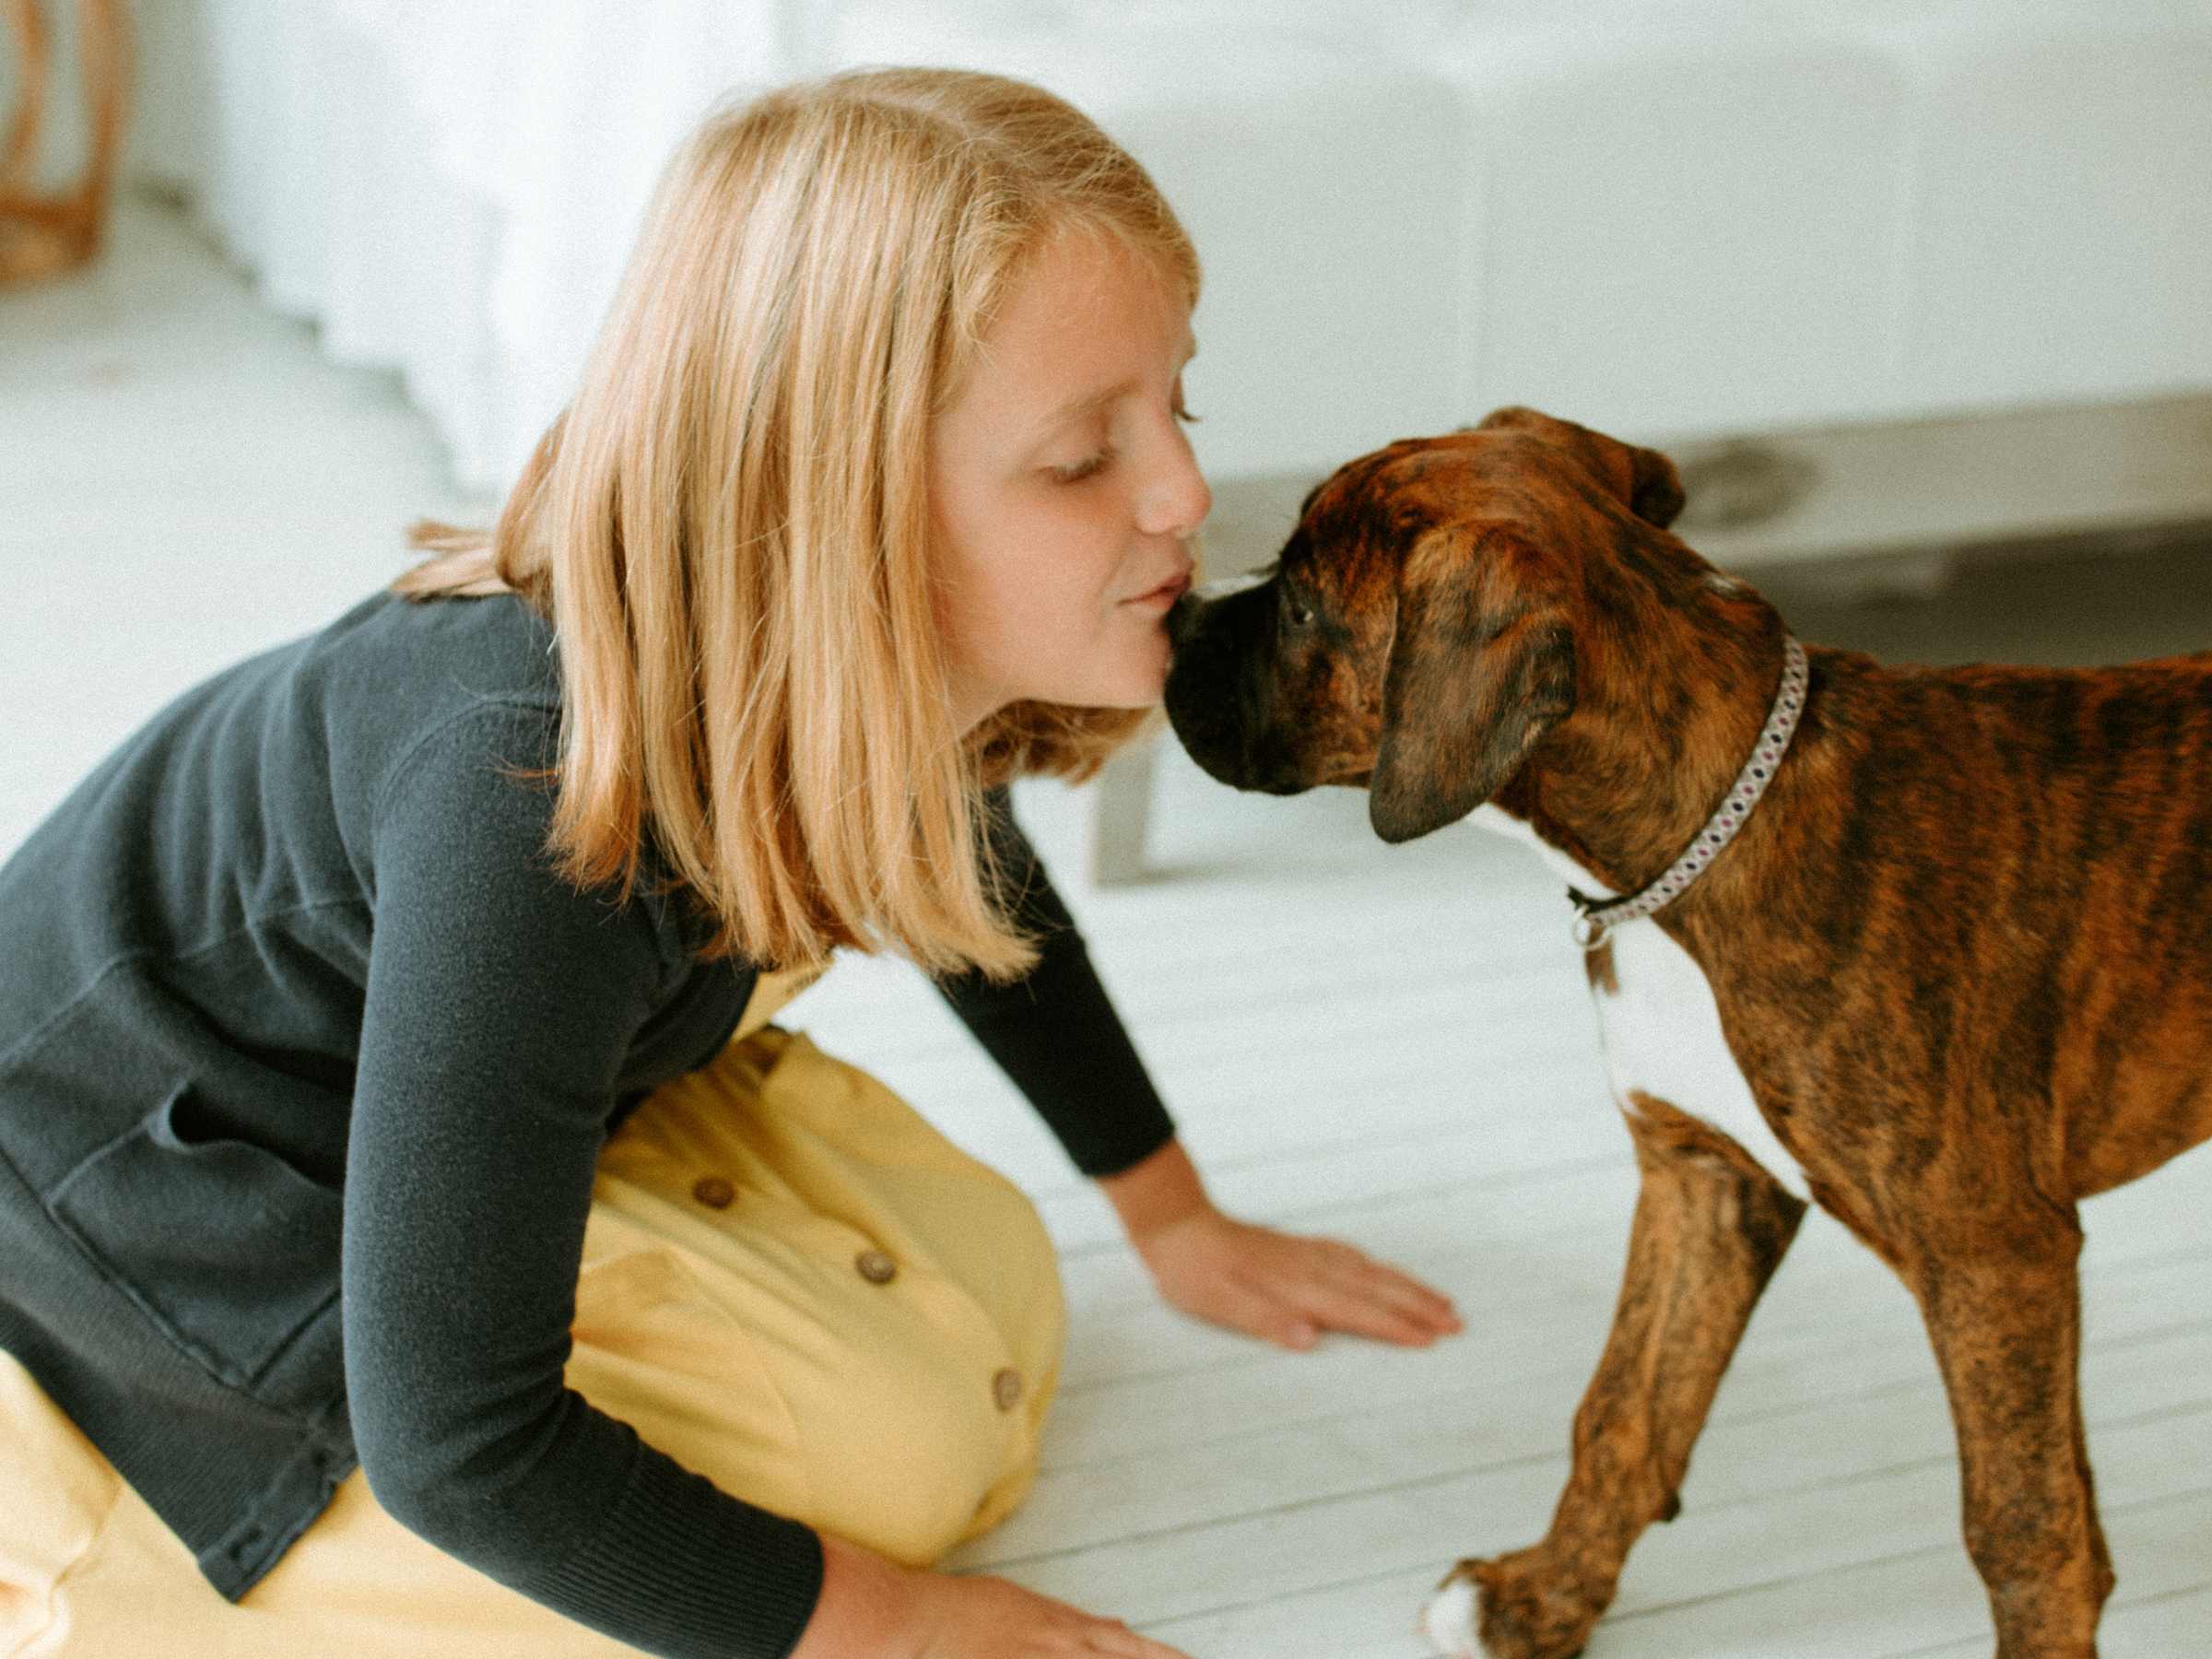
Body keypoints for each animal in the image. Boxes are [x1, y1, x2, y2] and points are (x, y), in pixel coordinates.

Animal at [1159, 409, 2212, 1659]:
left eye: (1303, 608)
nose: (1167, 619)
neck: (1702, 839)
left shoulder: (1996, 1257)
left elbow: (2024, 1529)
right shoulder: (1703, 1178)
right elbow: (1625, 1412)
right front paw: (1541, 1601)